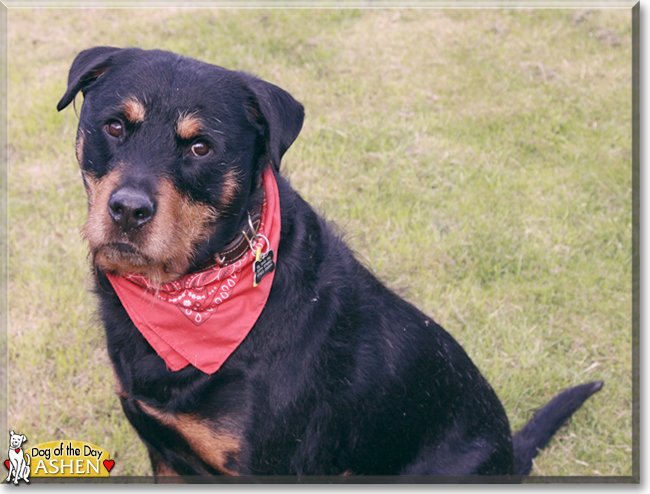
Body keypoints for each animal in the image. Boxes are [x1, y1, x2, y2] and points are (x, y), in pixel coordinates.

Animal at [57, 47, 604, 478]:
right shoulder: (165, 452)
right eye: (114, 126)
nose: (128, 209)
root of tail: (510, 452)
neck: (194, 291)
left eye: (200, 146)